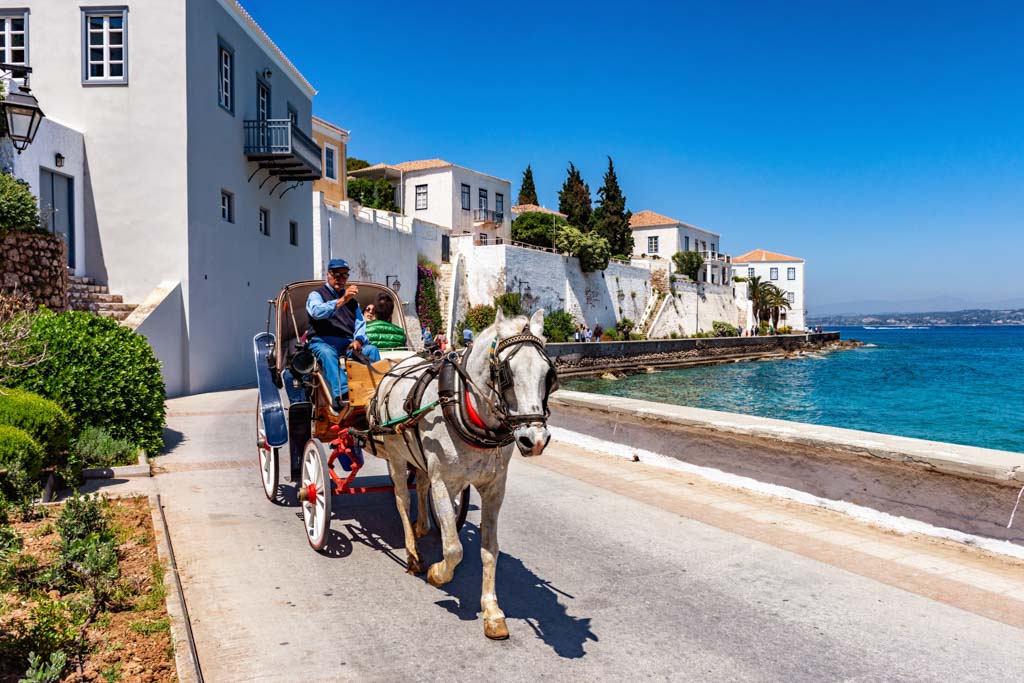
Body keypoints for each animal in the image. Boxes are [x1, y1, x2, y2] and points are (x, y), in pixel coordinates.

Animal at [372, 309, 557, 643]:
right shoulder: (444, 484)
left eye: (549, 374)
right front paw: (437, 574)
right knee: (402, 500)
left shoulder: (495, 488)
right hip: (395, 456)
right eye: (506, 374)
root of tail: (397, 365)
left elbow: (490, 550)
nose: (534, 440)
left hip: (418, 455)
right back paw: (413, 553)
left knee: (420, 484)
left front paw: (493, 612)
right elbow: (454, 548)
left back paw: (422, 526)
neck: (462, 402)